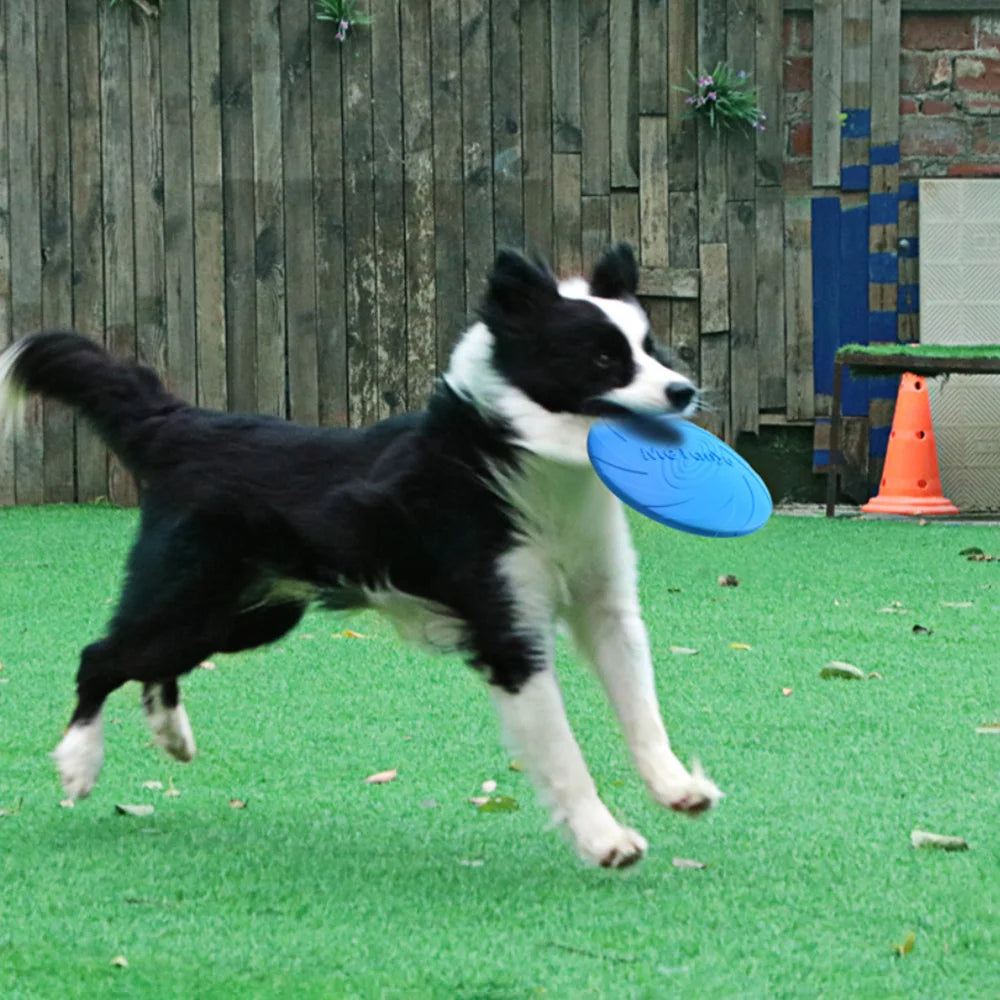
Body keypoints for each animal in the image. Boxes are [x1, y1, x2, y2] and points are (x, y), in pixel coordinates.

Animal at [0, 244, 720, 868]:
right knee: (101, 655)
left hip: (246, 615)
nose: (683, 391)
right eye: (601, 359)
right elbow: (566, 754)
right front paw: (606, 840)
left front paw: (676, 787)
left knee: (153, 663)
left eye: (650, 349)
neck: (521, 459)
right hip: (191, 595)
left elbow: (642, 708)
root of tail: (182, 424)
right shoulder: (509, 635)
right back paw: (79, 761)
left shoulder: (607, 608)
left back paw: (170, 732)